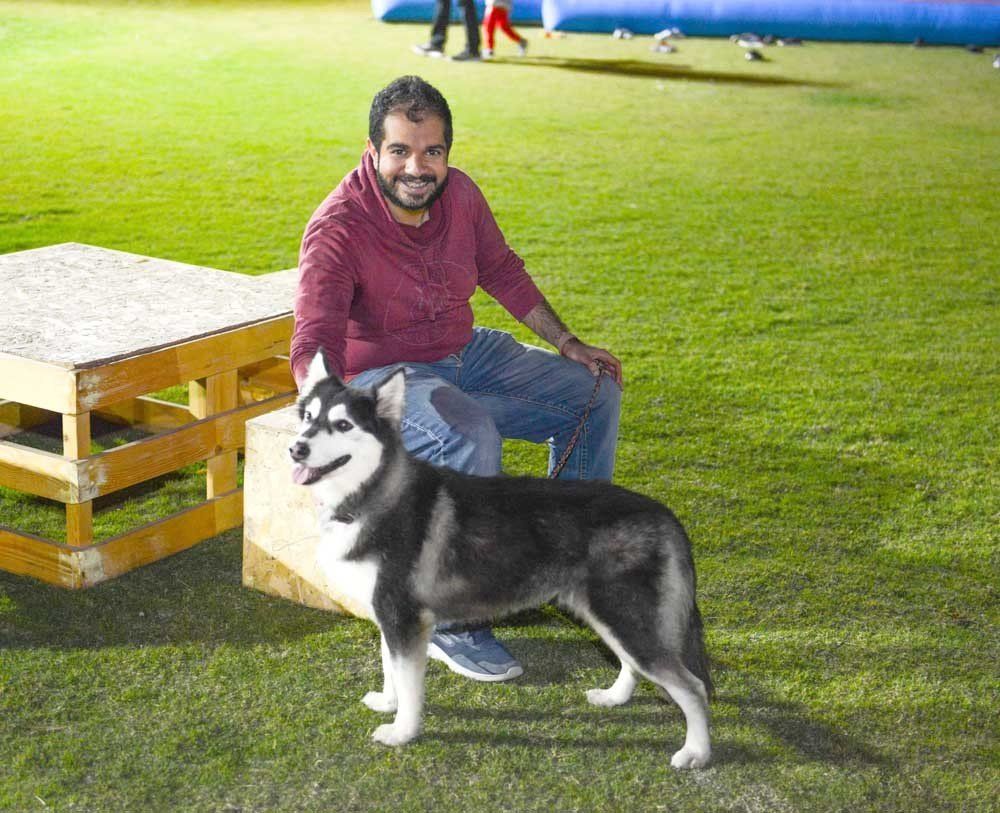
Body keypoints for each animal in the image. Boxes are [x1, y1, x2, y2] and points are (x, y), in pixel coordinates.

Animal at [289, 350, 712, 768]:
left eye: (342, 424)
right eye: (308, 417)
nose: (297, 448)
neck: (373, 491)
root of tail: (662, 512)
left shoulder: (403, 618)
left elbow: (408, 684)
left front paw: (402, 731)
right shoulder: (388, 615)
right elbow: (389, 667)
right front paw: (387, 703)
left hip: (625, 614)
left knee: (692, 687)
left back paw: (696, 751)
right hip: (610, 615)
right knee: (633, 663)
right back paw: (615, 696)